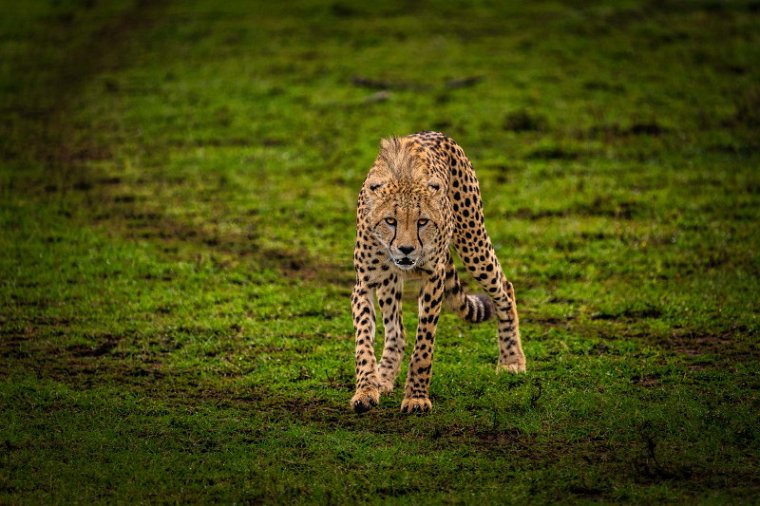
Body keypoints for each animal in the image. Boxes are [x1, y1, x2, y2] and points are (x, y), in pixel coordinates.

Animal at [348, 132, 524, 414]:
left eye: (422, 221)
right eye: (390, 221)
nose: (406, 249)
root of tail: (436, 134)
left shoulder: (434, 277)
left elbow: (424, 344)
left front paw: (416, 396)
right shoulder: (365, 283)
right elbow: (363, 343)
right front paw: (366, 389)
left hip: (473, 242)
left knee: (504, 288)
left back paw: (511, 360)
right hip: (389, 280)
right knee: (397, 332)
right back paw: (383, 377)